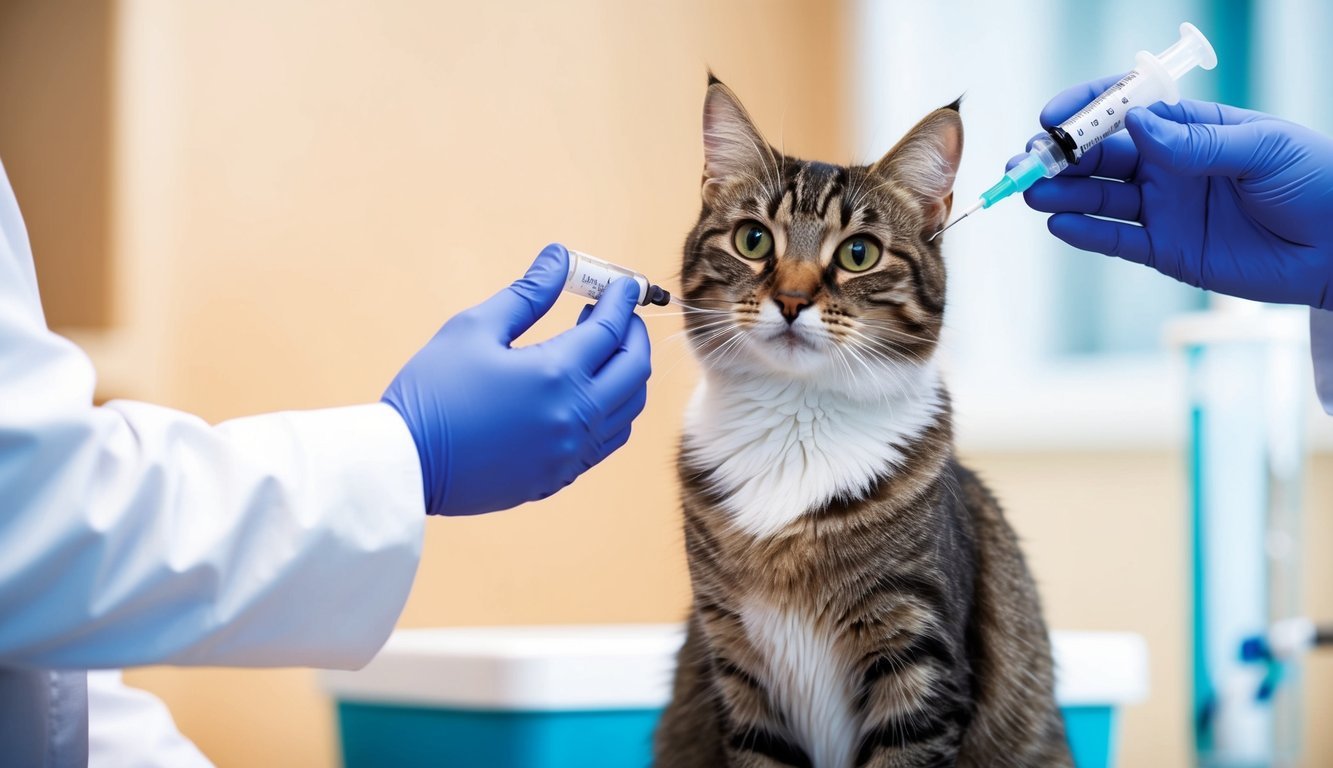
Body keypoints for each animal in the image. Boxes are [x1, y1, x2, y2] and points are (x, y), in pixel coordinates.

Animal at [655, 73, 1071, 768]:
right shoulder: (736, 665)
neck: (796, 421)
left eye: (858, 253)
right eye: (753, 240)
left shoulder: (918, 659)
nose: (792, 299)